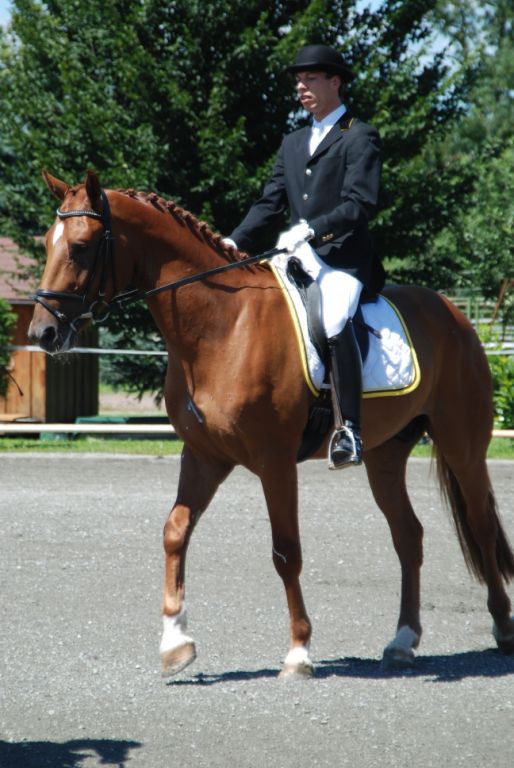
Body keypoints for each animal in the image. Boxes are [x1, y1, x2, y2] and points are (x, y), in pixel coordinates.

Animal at [28, 170, 514, 678]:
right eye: (46, 242)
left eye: (81, 246)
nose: (42, 333)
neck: (222, 325)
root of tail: (454, 314)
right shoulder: (204, 456)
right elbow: (175, 531)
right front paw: (175, 643)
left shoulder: (274, 461)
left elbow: (286, 552)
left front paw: (298, 652)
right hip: (385, 455)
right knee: (408, 536)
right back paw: (403, 640)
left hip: (463, 446)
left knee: (481, 526)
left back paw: (502, 628)